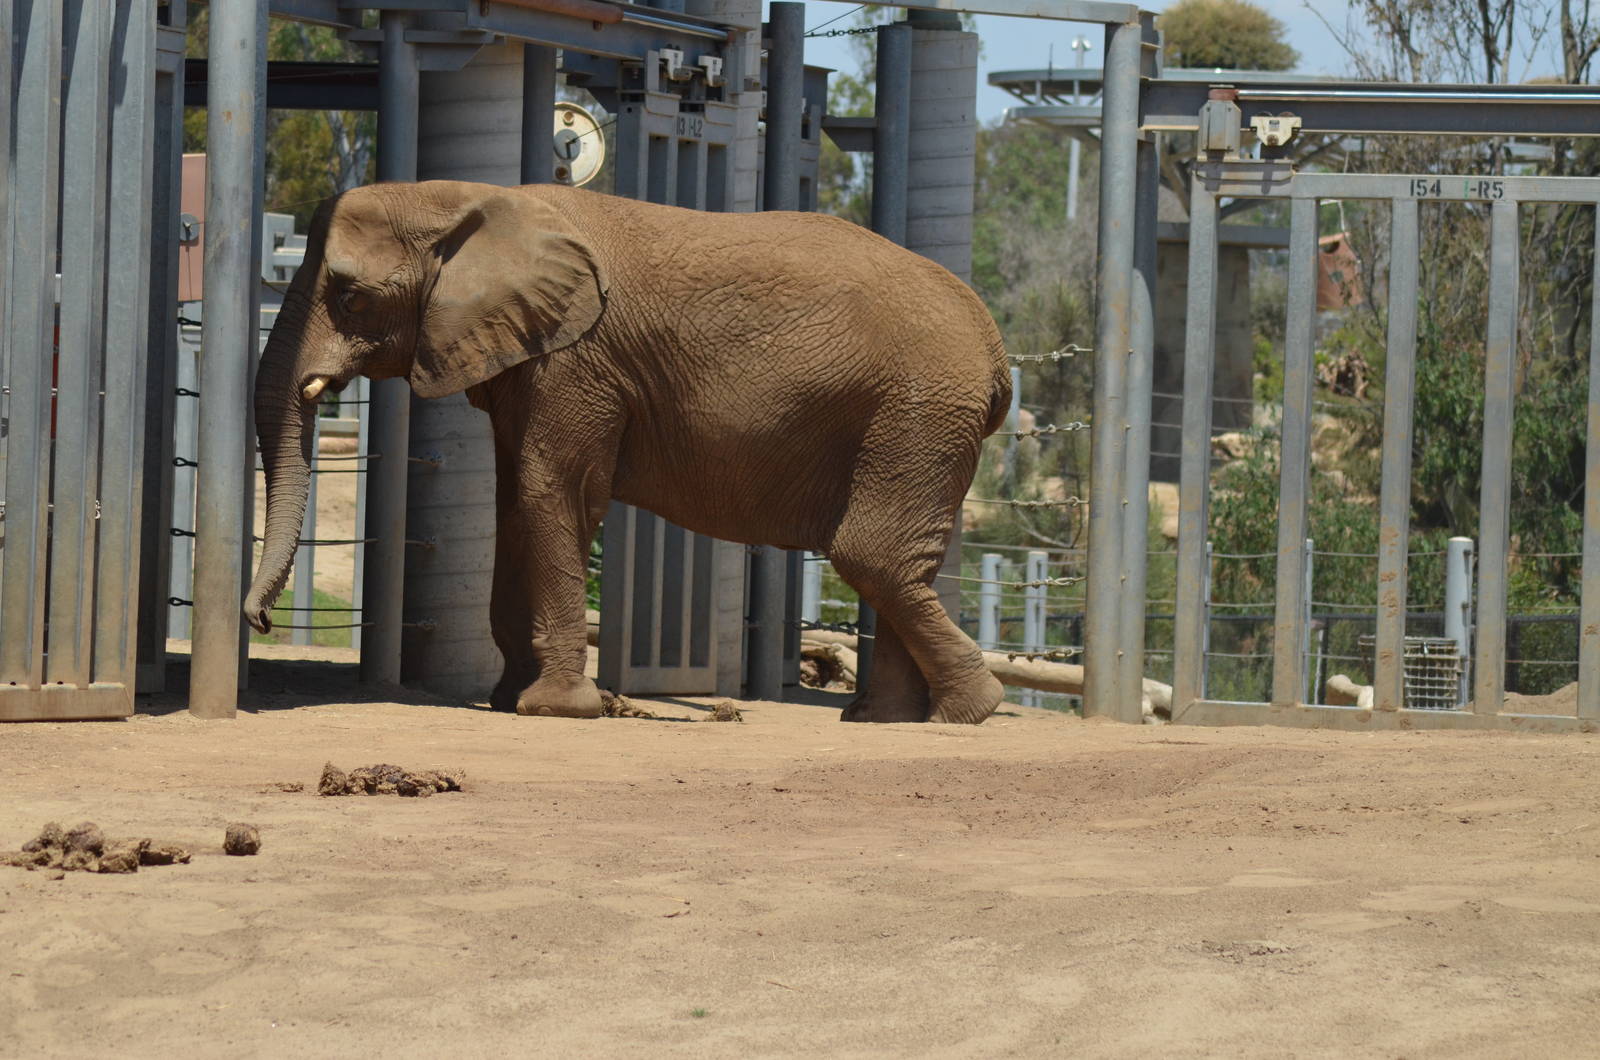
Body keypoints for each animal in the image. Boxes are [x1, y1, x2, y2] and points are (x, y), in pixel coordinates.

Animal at [243, 180, 1012, 724]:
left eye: (350, 296)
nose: (261, 620)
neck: (465, 200)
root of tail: (994, 344)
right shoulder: (533, 359)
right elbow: (513, 502)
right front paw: (509, 698)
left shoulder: (578, 361)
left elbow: (550, 491)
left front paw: (552, 709)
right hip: (918, 420)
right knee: (895, 564)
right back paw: (894, 718)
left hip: (917, 408)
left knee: (870, 555)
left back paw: (967, 711)